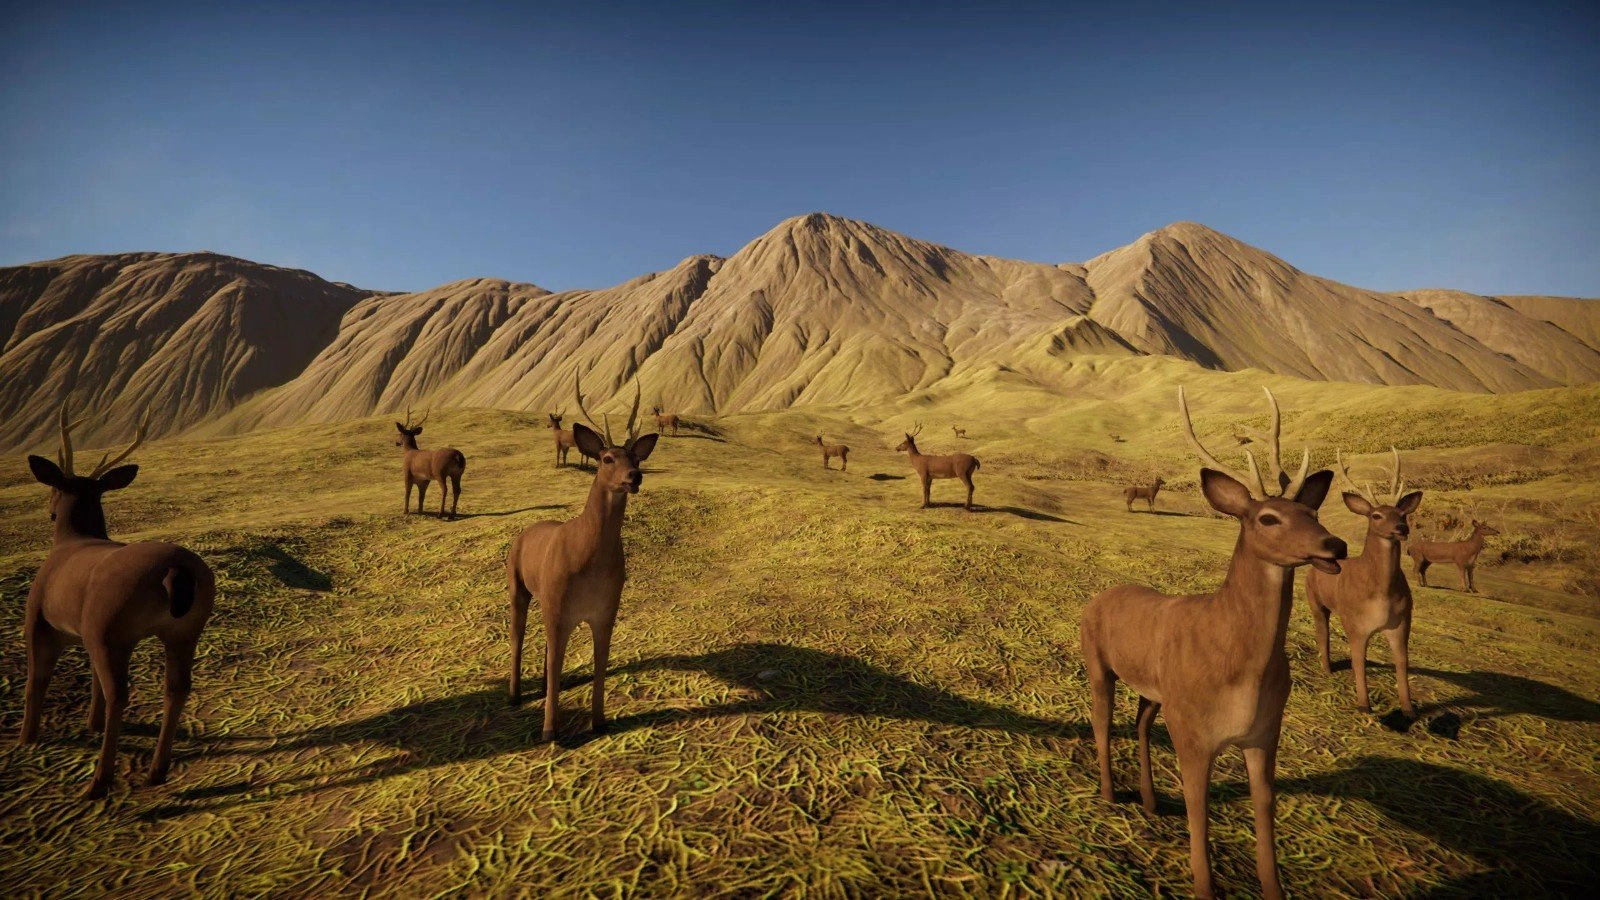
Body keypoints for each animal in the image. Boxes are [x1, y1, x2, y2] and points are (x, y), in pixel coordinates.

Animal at [20, 406, 216, 799]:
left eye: (54, 487)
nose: (50, 510)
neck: (72, 538)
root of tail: (176, 571)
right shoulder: (83, 633)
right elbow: (91, 679)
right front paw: (90, 724)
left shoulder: (40, 619)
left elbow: (37, 680)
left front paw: (26, 740)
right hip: (185, 629)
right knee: (177, 687)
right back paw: (156, 771)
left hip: (111, 629)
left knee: (119, 695)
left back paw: (99, 782)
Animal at [507, 375, 659, 741]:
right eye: (607, 458)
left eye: (636, 458)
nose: (635, 477)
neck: (590, 562)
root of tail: (524, 532)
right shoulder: (558, 607)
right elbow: (556, 659)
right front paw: (550, 732)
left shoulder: (606, 611)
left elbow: (600, 662)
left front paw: (599, 722)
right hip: (519, 587)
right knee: (519, 636)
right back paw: (514, 696)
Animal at [1081, 387, 1345, 900]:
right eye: (1268, 518)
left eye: (1313, 512)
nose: (1335, 546)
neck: (1242, 667)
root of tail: (1098, 596)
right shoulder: (1192, 732)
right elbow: (1197, 808)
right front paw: (1203, 884)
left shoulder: (1265, 734)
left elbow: (1265, 808)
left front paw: (1272, 885)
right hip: (1098, 665)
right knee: (1101, 721)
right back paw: (1109, 794)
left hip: (1156, 691)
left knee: (1140, 722)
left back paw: (1149, 801)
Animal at [1306, 448, 1424, 717]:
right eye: (1376, 515)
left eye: (1403, 514)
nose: (1401, 528)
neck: (1382, 595)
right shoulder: (1355, 623)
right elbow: (1357, 660)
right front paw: (1363, 705)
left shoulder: (1403, 622)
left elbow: (1402, 662)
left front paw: (1409, 709)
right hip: (1316, 601)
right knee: (1322, 631)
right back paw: (1327, 669)